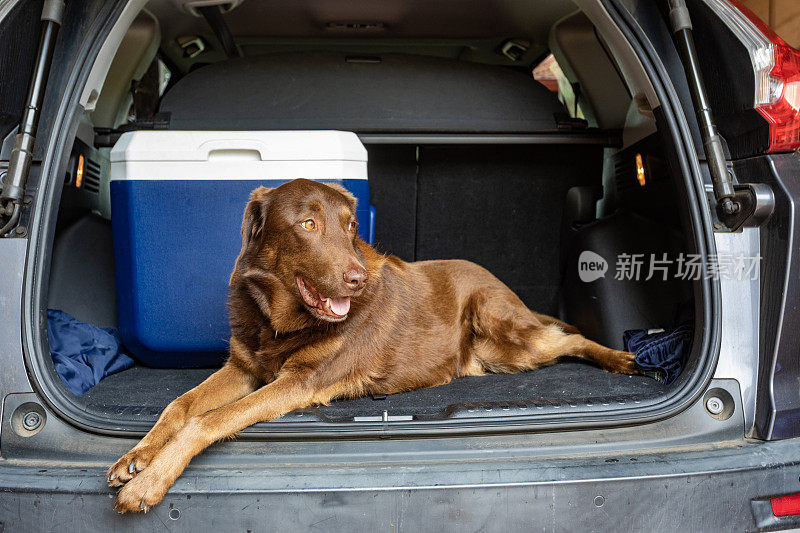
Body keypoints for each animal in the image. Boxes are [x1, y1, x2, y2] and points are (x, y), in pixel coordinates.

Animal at [108, 178, 636, 512]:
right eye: (307, 225)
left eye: (350, 226)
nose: (357, 279)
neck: (280, 322)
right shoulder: (244, 367)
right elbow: (180, 406)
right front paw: (138, 456)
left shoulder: (300, 382)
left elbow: (208, 420)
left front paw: (151, 481)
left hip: (504, 331)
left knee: (569, 337)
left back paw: (620, 358)